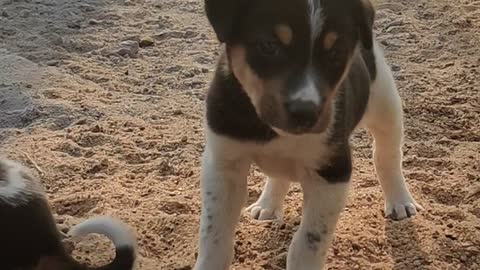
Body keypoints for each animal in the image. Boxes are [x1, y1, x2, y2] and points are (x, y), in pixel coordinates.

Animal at [195, 0, 424, 268]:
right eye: (268, 45)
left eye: (335, 52)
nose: (306, 112)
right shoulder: (223, 165)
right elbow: (215, 237)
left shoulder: (332, 172)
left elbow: (307, 243)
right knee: (278, 175)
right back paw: (267, 205)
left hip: (386, 106)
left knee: (387, 158)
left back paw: (400, 201)